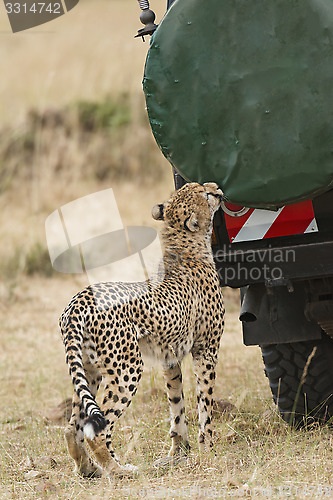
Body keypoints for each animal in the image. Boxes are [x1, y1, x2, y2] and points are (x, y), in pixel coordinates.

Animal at [59, 183, 224, 476]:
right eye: (205, 194)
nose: (217, 188)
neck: (187, 250)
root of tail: (80, 298)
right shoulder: (206, 350)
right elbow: (205, 403)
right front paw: (208, 451)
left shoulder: (169, 358)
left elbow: (176, 404)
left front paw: (179, 451)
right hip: (127, 369)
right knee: (99, 431)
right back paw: (119, 471)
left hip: (89, 369)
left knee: (73, 426)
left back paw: (89, 470)